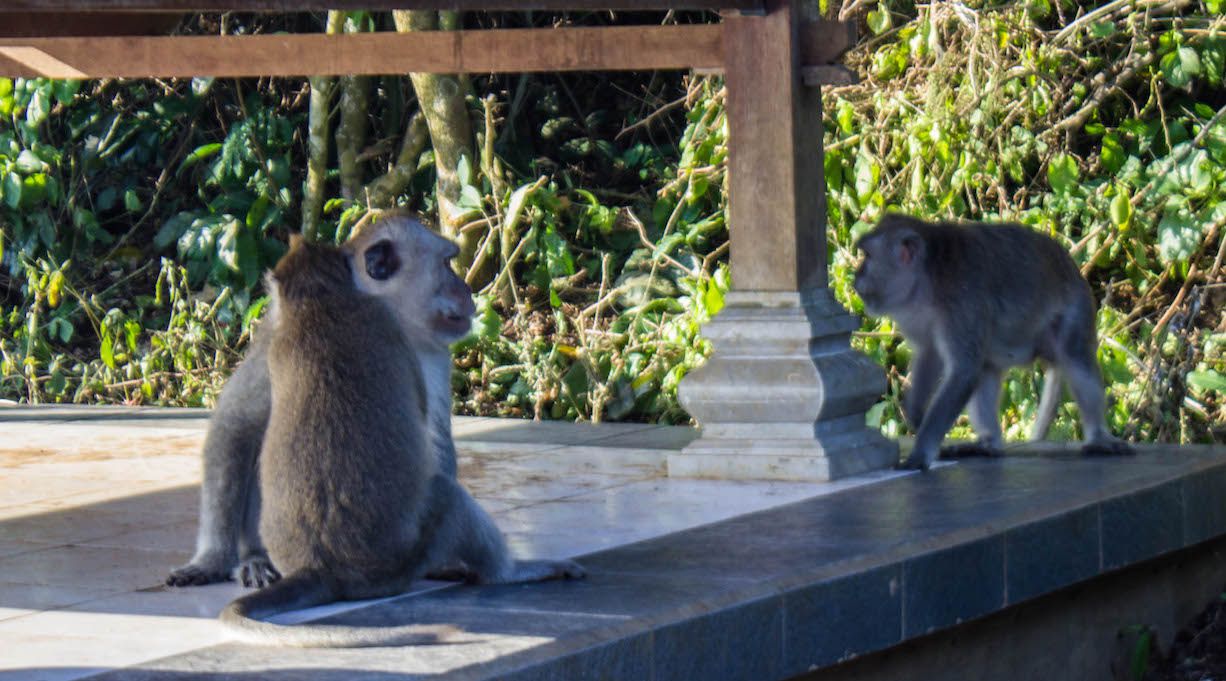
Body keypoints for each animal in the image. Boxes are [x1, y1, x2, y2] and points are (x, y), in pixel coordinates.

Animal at [166, 213, 575, 590]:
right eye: (446, 264)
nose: (467, 291)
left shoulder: (431, 352)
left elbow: (433, 438)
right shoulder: (277, 334)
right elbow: (236, 424)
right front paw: (211, 561)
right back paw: (255, 557)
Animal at [852, 214, 1134, 471]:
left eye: (867, 256)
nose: (856, 277)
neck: (928, 280)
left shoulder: (962, 304)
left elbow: (963, 370)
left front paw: (920, 453)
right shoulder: (916, 315)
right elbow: (930, 354)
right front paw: (916, 413)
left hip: (1076, 308)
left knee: (1075, 356)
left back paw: (1098, 438)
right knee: (986, 369)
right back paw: (988, 444)